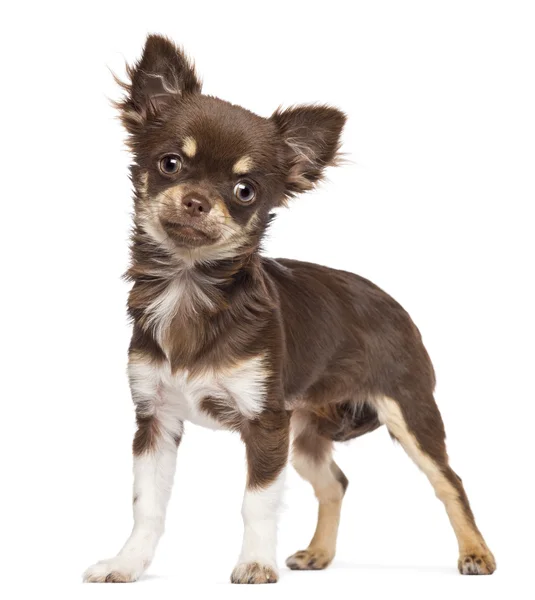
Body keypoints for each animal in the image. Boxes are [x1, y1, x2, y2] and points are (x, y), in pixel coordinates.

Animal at [82, 35, 494, 584]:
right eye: (170, 164)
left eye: (245, 191)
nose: (196, 200)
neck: (190, 287)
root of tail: (397, 307)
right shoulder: (156, 421)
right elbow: (147, 504)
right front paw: (127, 563)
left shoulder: (264, 425)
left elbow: (256, 502)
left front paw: (255, 564)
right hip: (302, 436)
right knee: (335, 481)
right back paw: (319, 553)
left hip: (408, 413)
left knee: (449, 480)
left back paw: (476, 553)